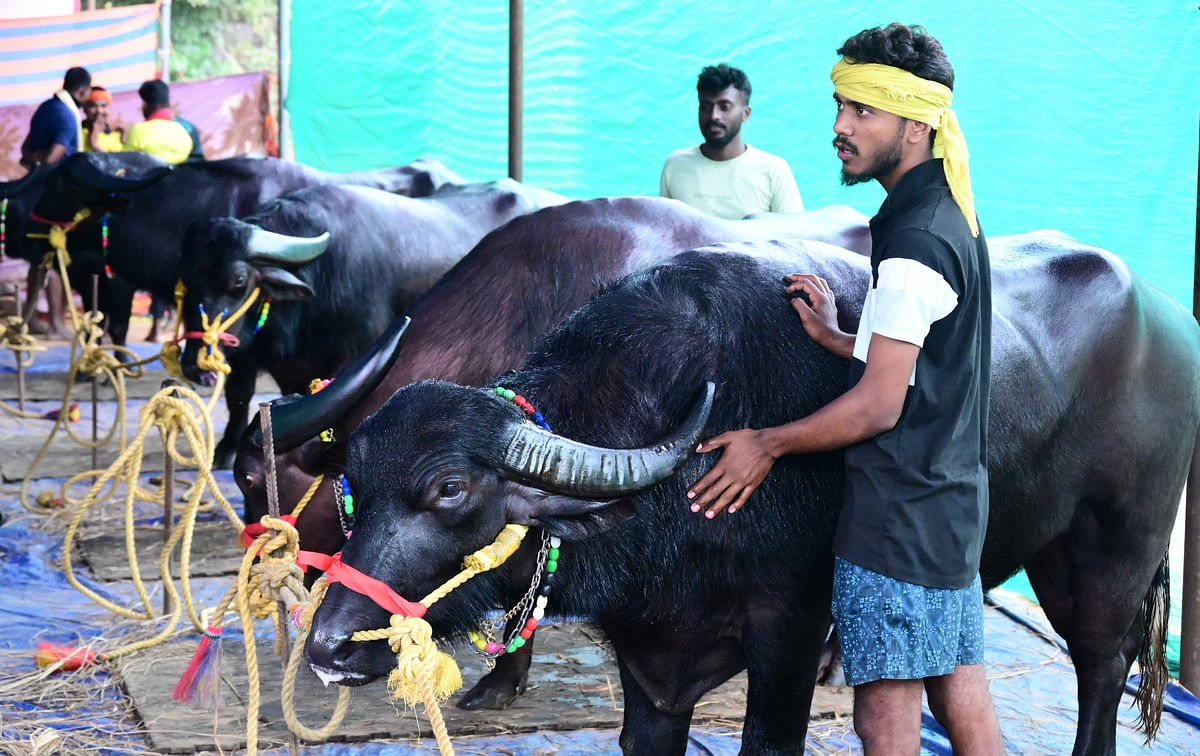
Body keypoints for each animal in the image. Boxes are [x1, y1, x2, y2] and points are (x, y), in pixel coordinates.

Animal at [307, 238, 1190, 756]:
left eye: (450, 491)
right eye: (354, 493)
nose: (327, 648)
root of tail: (1169, 318)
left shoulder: (788, 631)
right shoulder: (653, 662)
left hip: (1115, 550)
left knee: (1101, 666)